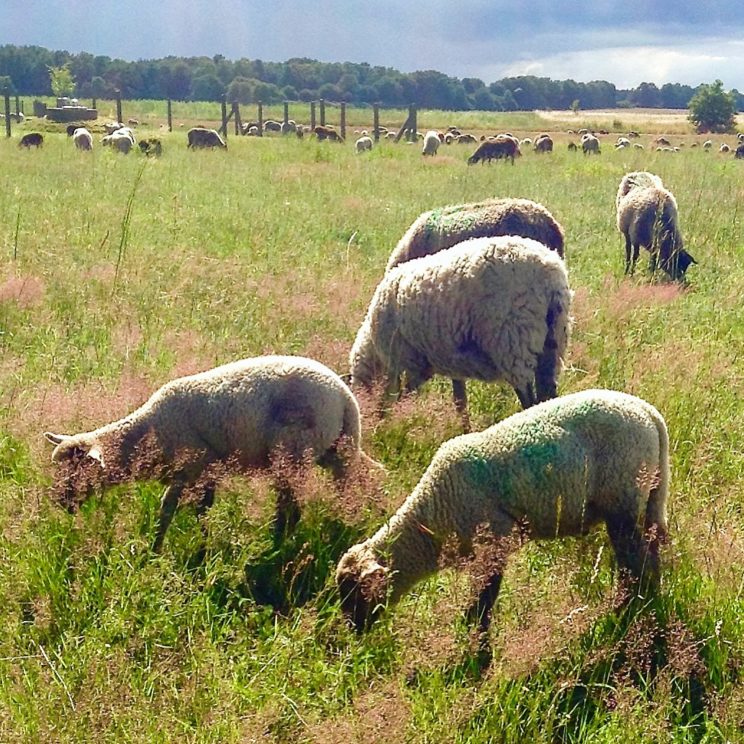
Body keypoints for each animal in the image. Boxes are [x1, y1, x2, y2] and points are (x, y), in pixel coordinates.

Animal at [45, 355, 379, 551]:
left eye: (79, 469)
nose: (60, 502)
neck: (148, 432)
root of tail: (345, 398)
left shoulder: (195, 466)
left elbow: (176, 510)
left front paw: (164, 549)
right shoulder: (199, 472)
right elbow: (191, 509)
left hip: (294, 452)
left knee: (293, 508)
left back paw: (275, 547)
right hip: (333, 452)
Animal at [336, 389, 669, 642]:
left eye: (354, 593)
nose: (355, 635)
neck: (431, 521)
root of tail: (650, 414)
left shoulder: (494, 541)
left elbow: (485, 596)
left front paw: (476, 636)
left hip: (622, 501)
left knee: (636, 564)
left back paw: (628, 608)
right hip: (650, 498)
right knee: (650, 555)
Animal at [349, 235, 572, 429]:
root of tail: (550, 276)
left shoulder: (408, 360)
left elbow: (402, 395)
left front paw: (394, 419)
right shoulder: (448, 363)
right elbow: (460, 401)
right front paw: (465, 429)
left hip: (514, 343)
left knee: (529, 399)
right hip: (553, 343)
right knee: (547, 394)